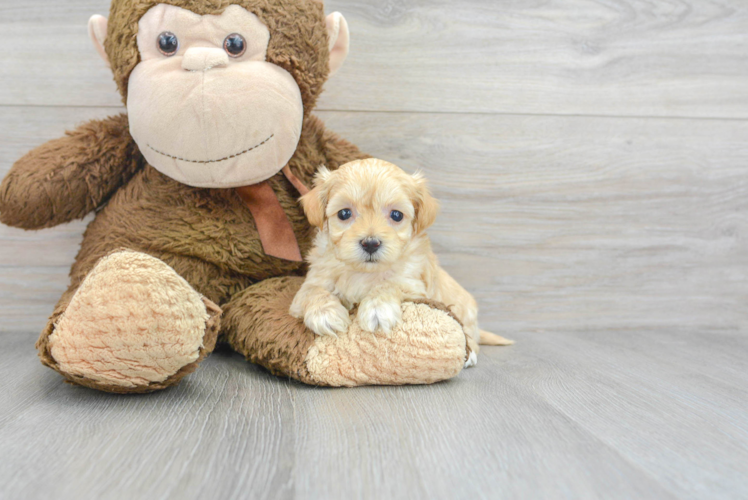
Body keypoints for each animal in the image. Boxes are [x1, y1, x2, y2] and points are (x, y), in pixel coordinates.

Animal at [290, 158, 512, 366]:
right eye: (344, 213)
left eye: (396, 215)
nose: (370, 243)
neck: (364, 272)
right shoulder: (310, 284)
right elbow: (313, 291)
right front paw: (325, 314)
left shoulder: (413, 285)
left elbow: (389, 284)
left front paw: (378, 309)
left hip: (466, 313)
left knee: (471, 336)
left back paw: (470, 355)